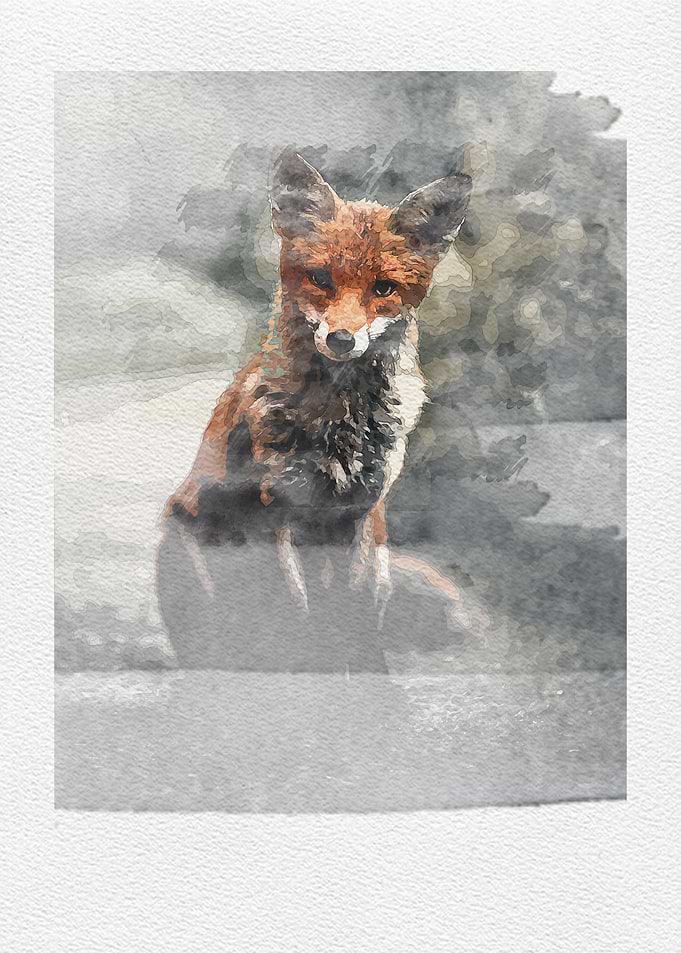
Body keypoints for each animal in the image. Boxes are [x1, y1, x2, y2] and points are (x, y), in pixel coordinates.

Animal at [164, 149, 473, 627]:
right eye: (321, 279)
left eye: (383, 288)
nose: (341, 339)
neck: (342, 420)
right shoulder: (280, 510)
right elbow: (298, 612)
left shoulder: (366, 510)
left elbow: (360, 604)